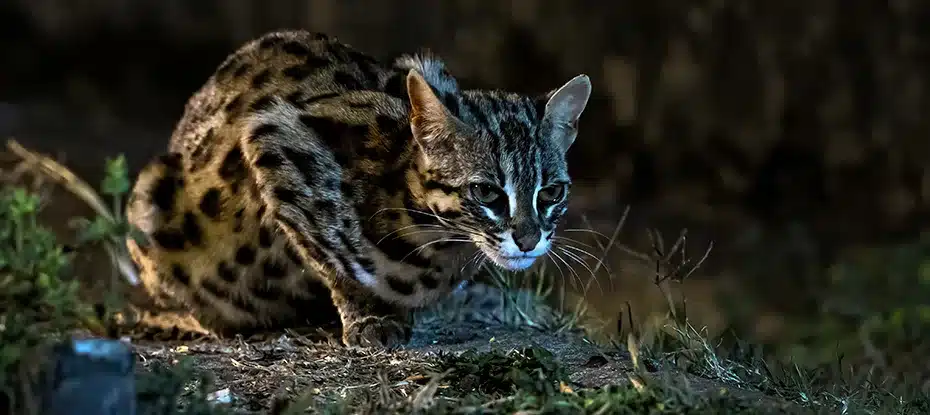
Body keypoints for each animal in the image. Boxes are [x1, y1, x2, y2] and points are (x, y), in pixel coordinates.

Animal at [123, 30, 592, 348]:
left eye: (551, 193)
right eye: (487, 192)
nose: (528, 240)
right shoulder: (271, 136)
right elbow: (333, 262)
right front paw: (368, 314)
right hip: (150, 199)